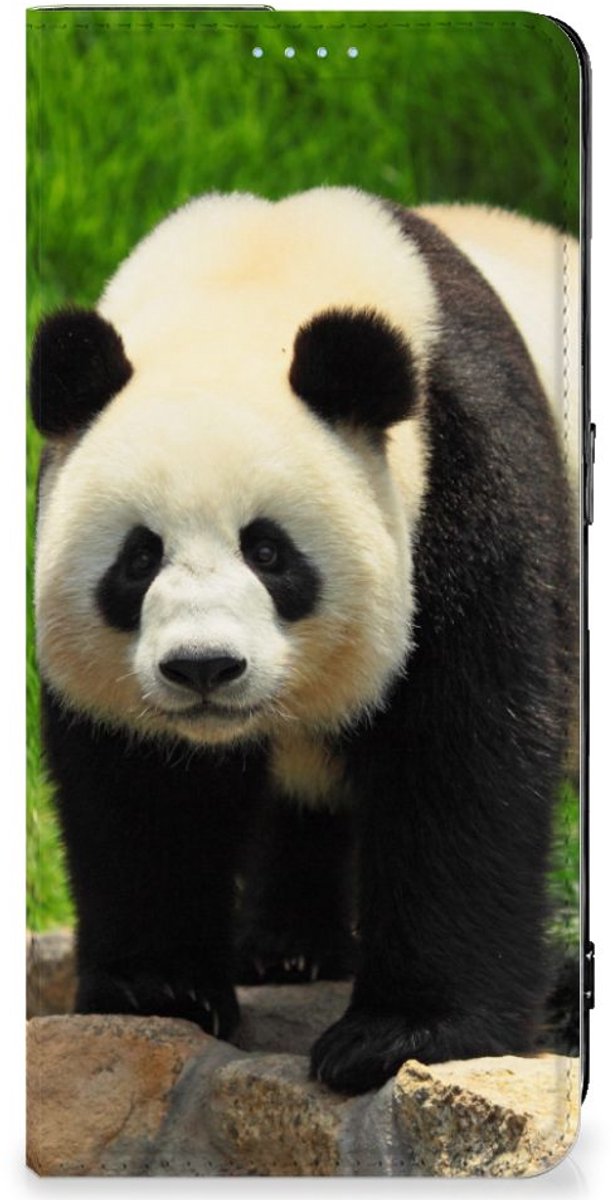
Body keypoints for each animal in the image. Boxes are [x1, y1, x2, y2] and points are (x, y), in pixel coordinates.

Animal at [31, 188, 579, 1095]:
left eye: (269, 551)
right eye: (138, 558)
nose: (204, 668)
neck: (255, 277)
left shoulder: (467, 480)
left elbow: (460, 756)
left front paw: (401, 1035)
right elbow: (142, 786)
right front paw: (159, 988)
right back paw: (287, 948)